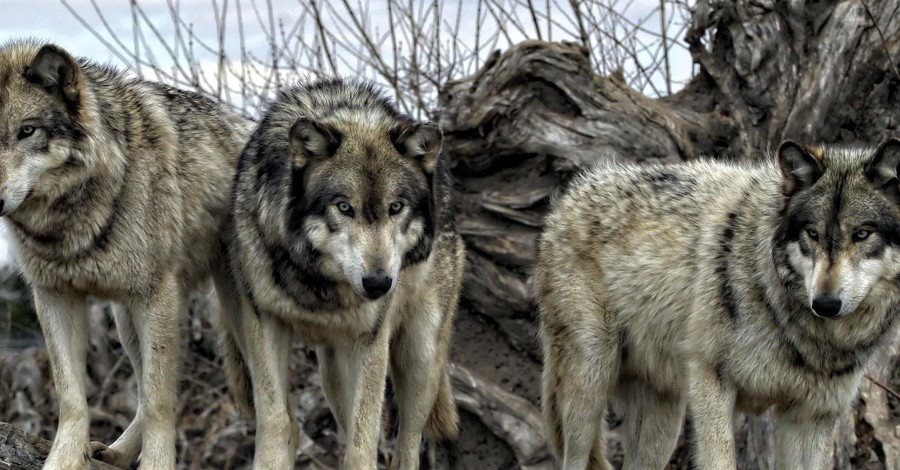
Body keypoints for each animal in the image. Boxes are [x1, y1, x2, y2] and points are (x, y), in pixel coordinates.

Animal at [0, 40, 253, 470]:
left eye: (27, 131)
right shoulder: (54, 295)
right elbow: (72, 397)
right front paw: (64, 460)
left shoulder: (154, 297)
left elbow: (157, 401)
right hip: (125, 319)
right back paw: (116, 453)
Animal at [223, 79, 464, 468]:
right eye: (344, 207)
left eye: (396, 207)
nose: (379, 283)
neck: (318, 285)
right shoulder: (264, 323)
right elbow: (276, 421)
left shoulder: (371, 340)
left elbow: (362, 445)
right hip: (330, 374)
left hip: (419, 357)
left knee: (409, 442)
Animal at [536, 140, 900, 470]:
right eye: (812, 233)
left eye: (862, 234)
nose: (825, 304)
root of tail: (570, 196)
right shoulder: (711, 378)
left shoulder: (812, 415)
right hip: (590, 386)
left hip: (663, 421)